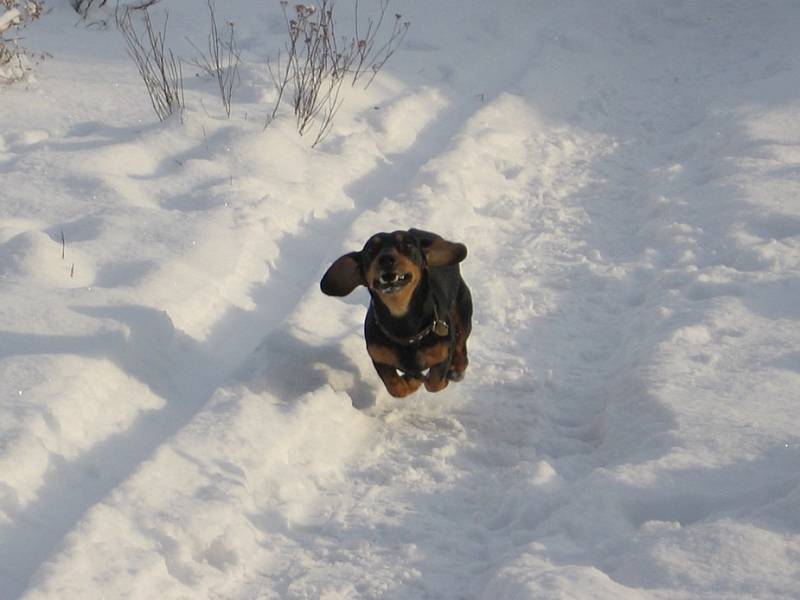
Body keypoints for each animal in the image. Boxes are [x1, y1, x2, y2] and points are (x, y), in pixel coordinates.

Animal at [318, 230, 472, 398]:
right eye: (370, 250)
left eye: (407, 245)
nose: (386, 259)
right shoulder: (379, 358)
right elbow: (396, 388)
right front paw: (410, 382)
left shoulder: (443, 353)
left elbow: (434, 382)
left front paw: (439, 380)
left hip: (462, 312)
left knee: (461, 344)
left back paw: (457, 368)